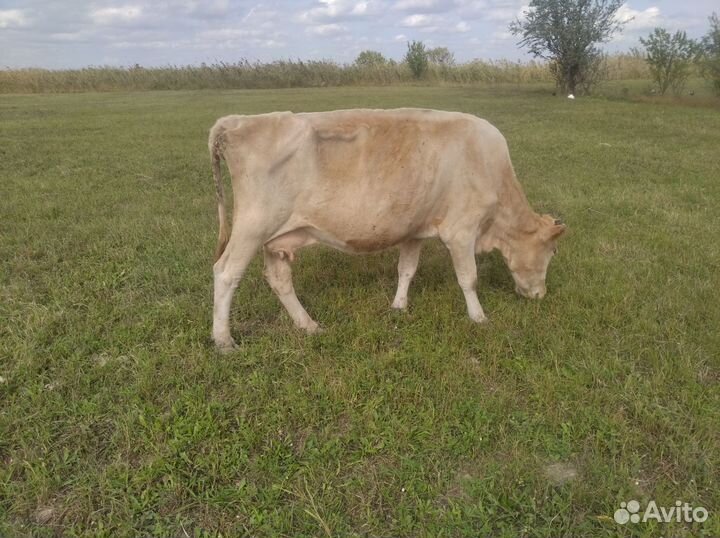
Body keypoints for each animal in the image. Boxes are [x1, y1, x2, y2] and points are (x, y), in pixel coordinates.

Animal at [208, 108, 566, 352]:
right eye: (551, 252)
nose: (540, 295)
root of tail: (236, 122)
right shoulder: (461, 230)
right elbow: (469, 278)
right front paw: (479, 318)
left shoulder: (415, 230)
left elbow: (406, 270)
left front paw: (398, 306)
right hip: (252, 226)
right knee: (226, 273)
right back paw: (224, 340)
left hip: (276, 239)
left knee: (279, 279)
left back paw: (308, 325)